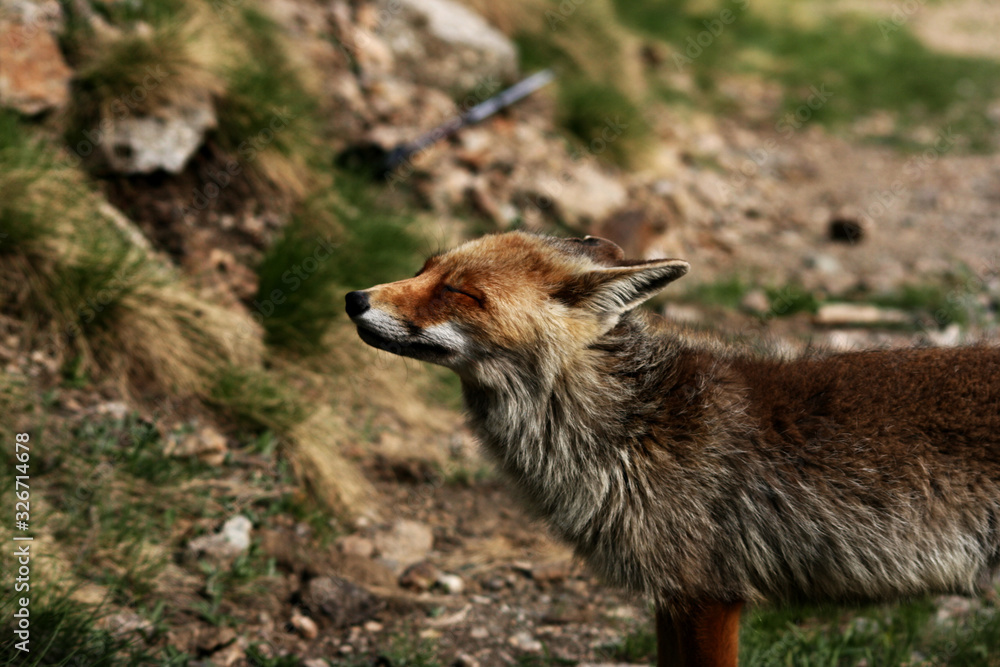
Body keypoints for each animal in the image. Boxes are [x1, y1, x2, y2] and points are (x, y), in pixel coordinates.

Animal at [345, 231, 1000, 667]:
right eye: (424, 267)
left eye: (459, 291)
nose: (354, 298)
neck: (635, 427)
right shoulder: (672, 598)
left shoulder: (709, 594)